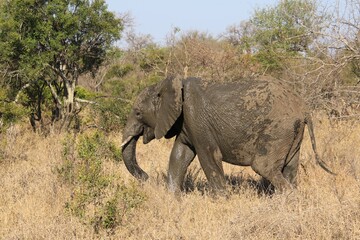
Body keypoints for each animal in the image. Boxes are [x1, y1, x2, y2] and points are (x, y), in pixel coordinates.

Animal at [121, 76, 334, 194]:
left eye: (138, 113)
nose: (146, 178)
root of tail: (303, 108)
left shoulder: (196, 118)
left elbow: (209, 157)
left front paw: (221, 200)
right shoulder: (186, 124)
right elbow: (179, 156)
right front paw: (172, 198)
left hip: (278, 130)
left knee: (264, 167)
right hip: (293, 133)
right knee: (289, 168)